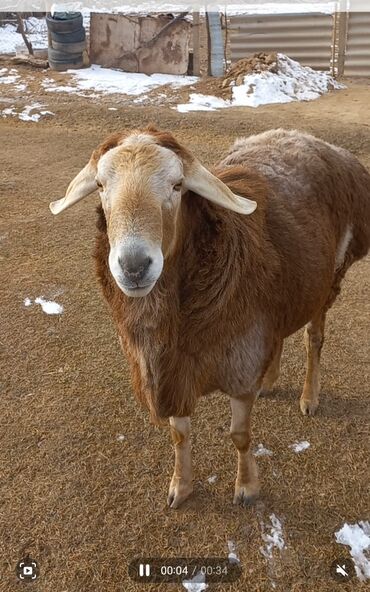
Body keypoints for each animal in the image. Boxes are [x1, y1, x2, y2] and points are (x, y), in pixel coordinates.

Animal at [49, 128, 370, 508]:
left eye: (177, 185)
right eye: (100, 185)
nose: (134, 266)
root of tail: (314, 140)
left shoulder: (238, 366)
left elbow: (240, 435)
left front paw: (246, 488)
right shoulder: (174, 368)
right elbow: (179, 435)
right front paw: (181, 487)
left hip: (330, 276)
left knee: (314, 339)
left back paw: (309, 397)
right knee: (278, 334)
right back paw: (269, 379)